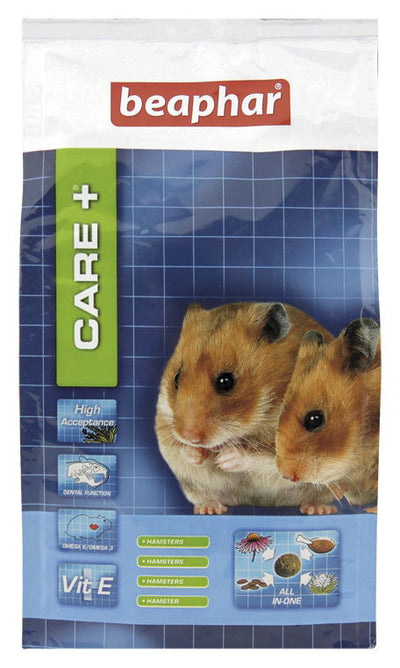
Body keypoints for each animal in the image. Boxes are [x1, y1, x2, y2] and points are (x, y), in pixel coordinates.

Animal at [155, 301, 333, 514]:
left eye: (226, 381)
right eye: (176, 378)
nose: (190, 436)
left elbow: (263, 456)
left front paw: (224, 460)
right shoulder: (164, 422)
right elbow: (177, 449)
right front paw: (199, 454)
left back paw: (318, 509)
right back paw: (209, 509)